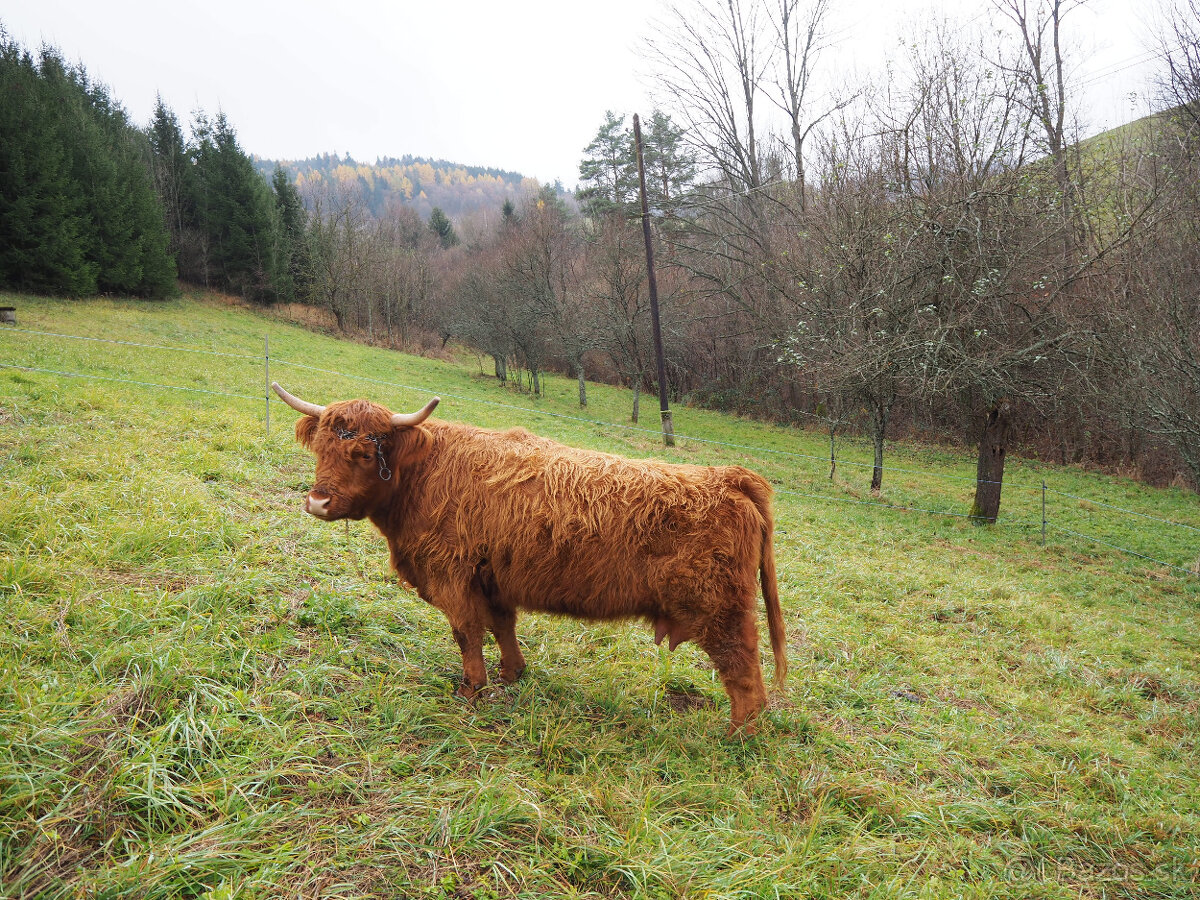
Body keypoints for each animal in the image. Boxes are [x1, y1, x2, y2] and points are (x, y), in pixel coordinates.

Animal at [272, 384, 787, 734]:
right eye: (321, 447)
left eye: (363, 453)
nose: (317, 502)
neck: (423, 474)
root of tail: (730, 477)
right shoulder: (493, 578)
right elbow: (502, 627)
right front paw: (512, 675)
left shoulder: (451, 574)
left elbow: (466, 632)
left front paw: (472, 690)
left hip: (720, 611)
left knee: (745, 674)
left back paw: (736, 737)